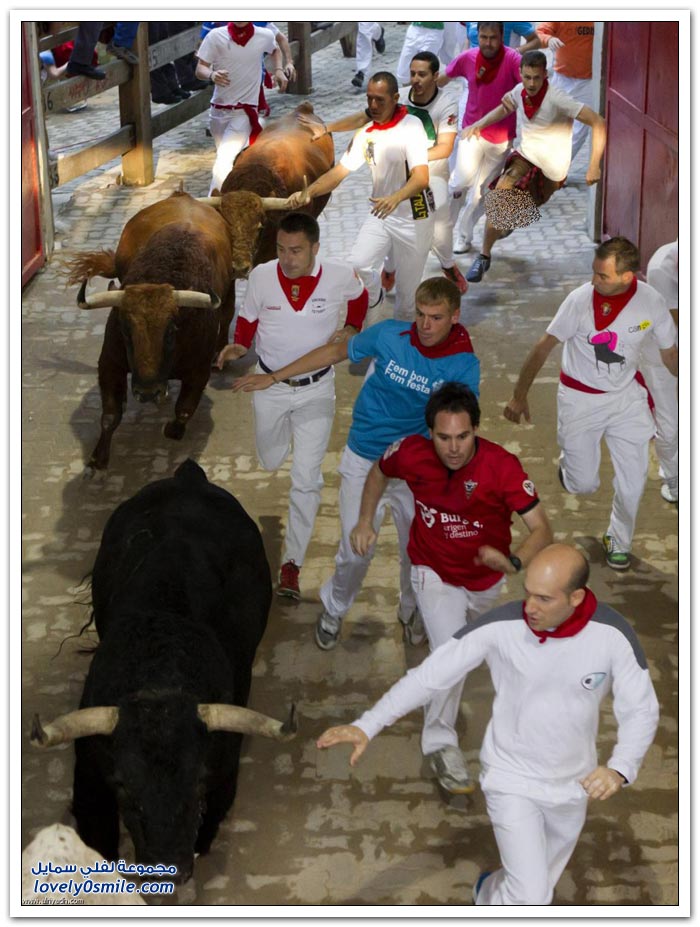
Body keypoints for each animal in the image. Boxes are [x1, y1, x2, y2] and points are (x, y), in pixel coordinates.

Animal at [30, 459, 296, 884]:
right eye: (124, 787)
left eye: (199, 781)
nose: (165, 872)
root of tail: (189, 476)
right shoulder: (89, 778)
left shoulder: (224, 772)